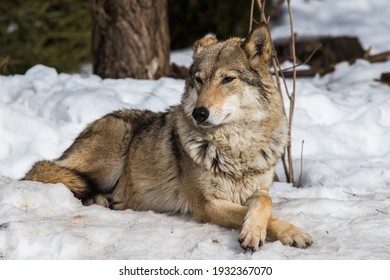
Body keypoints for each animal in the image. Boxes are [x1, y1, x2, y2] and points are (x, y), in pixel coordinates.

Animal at [23, 24, 310, 250]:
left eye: (228, 79)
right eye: (199, 80)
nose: (199, 113)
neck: (237, 147)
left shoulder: (258, 190)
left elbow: (264, 202)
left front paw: (270, 230)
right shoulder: (206, 204)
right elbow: (261, 214)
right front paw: (276, 233)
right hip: (116, 138)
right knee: (52, 176)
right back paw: (100, 198)